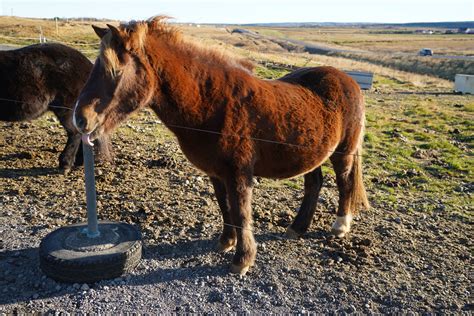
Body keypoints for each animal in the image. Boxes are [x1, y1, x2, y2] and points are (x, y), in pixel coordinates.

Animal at [75, 16, 370, 274]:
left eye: (116, 70)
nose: (80, 118)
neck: (213, 104)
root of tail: (348, 79)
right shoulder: (216, 173)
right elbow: (224, 207)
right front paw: (227, 242)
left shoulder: (238, 173)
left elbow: (240, 211)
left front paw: (242, 260)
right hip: (310, 154)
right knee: (314, 184)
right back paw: (297, 228)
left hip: (343, 152)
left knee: (344, 181)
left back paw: (341, 226)